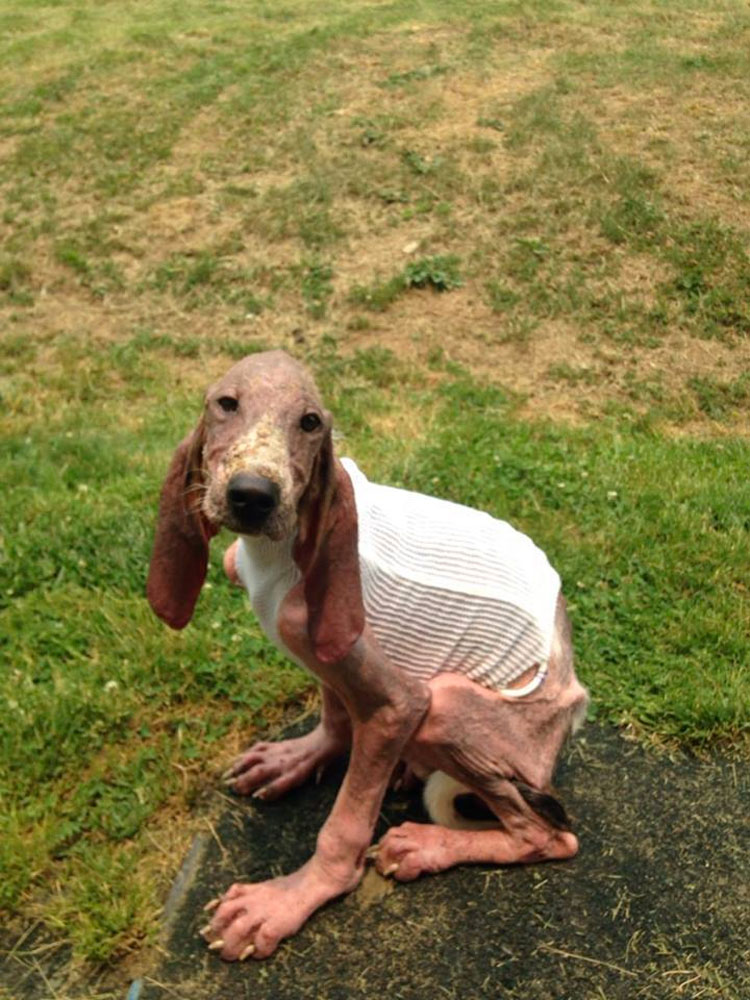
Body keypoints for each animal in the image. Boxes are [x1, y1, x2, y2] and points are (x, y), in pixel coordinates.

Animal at [147, 350, 592, 960]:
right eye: (226, 404)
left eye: (311, 422)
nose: (252, 495)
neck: (274, 554)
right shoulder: (325, 650)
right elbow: (335, 717)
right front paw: (299, 757)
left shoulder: (399, 705)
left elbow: (344, 826)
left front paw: (289, 900)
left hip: (448, 711)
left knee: (549, 836)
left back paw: (428, 846)